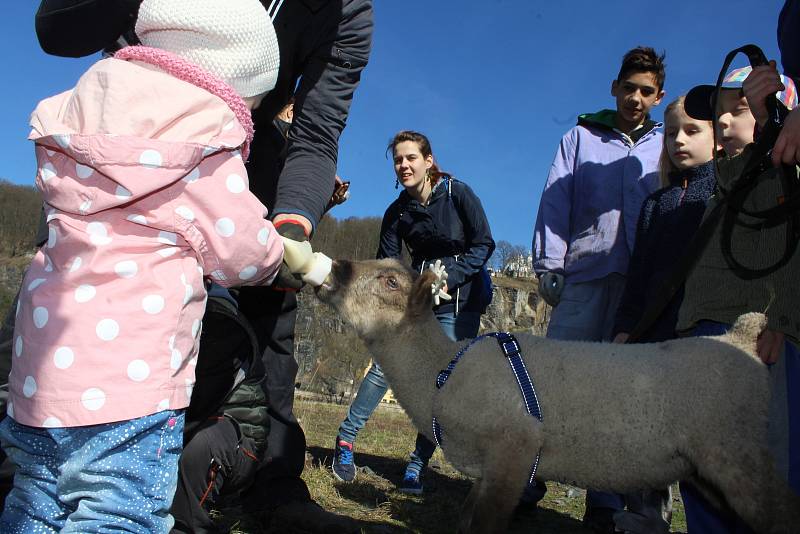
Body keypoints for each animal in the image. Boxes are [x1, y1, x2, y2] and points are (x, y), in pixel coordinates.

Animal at [316, 260, 800, 534]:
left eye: (390, 282)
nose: (335, 268)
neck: (441, 371)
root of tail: (741, 337)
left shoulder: (515, 450)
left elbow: (484, 525)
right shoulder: (488, 470)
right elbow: (467, 521)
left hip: (739, 452)